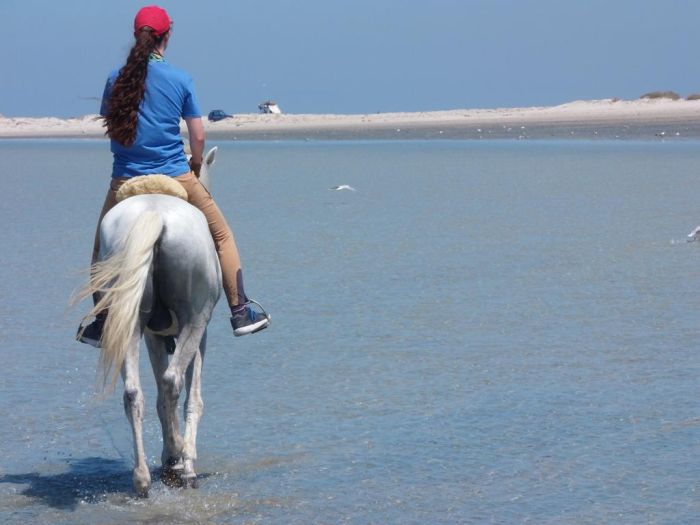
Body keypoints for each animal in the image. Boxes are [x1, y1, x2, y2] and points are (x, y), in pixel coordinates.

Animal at [77, 146, 220, 496]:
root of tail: (155, 215)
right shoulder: (200, 333)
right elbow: (192, 397)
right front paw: (183, 458)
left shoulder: (155, 336)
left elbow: (158, 398)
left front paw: (172, 456)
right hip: (194, 320)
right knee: (172, 382)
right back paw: (180, 466)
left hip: (127, 322)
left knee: (133, 393)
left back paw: (142, 478)